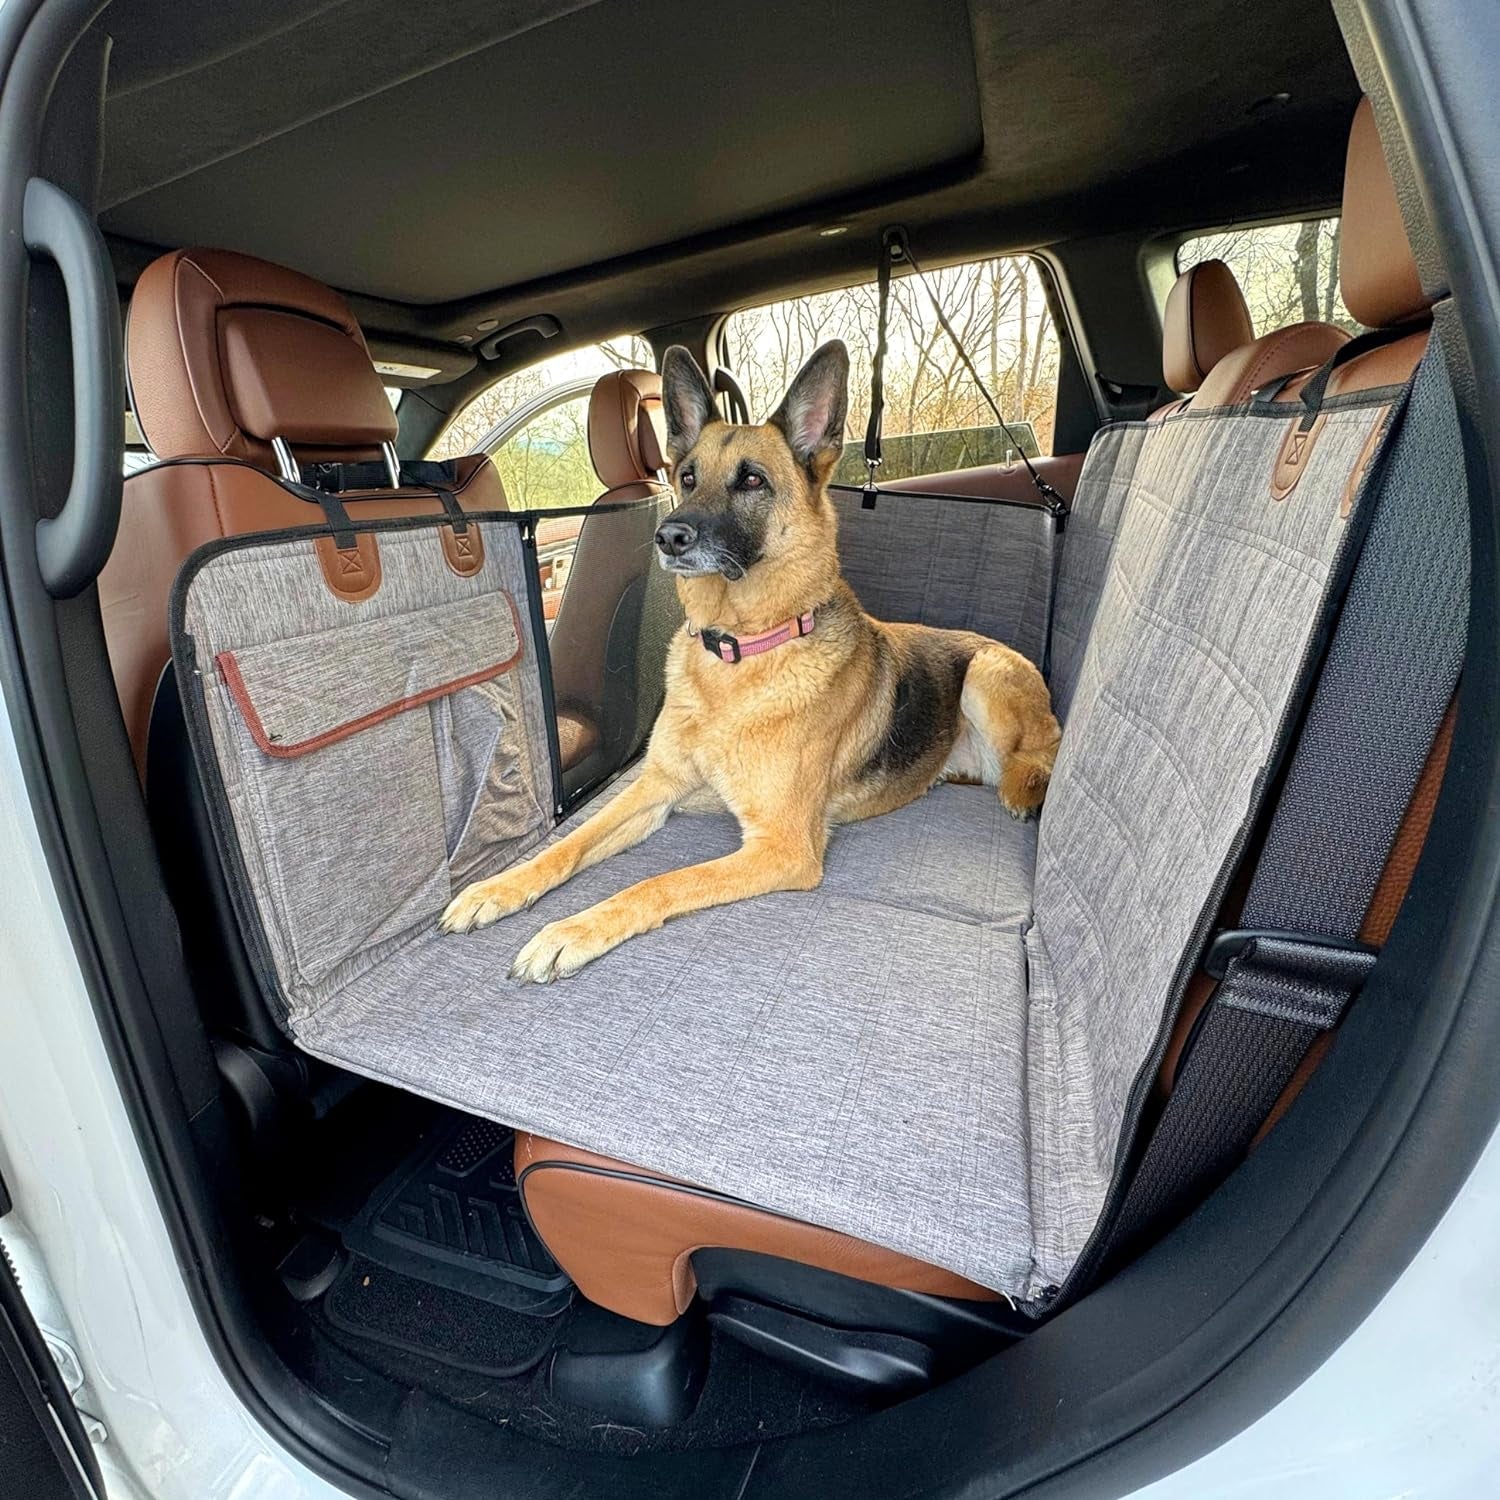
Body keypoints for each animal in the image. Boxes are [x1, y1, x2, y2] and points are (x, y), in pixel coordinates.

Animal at [438, 337, 1062, 984]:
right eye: (687, 478)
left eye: (753, 481)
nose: (668, 536)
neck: (737, 653)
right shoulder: (653, 789)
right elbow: (570, 843)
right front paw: (499, 887)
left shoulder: (781, 849)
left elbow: (659, 882)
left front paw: (571, 931)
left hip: (986, 672)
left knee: (1043, 749)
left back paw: (1022, 785)